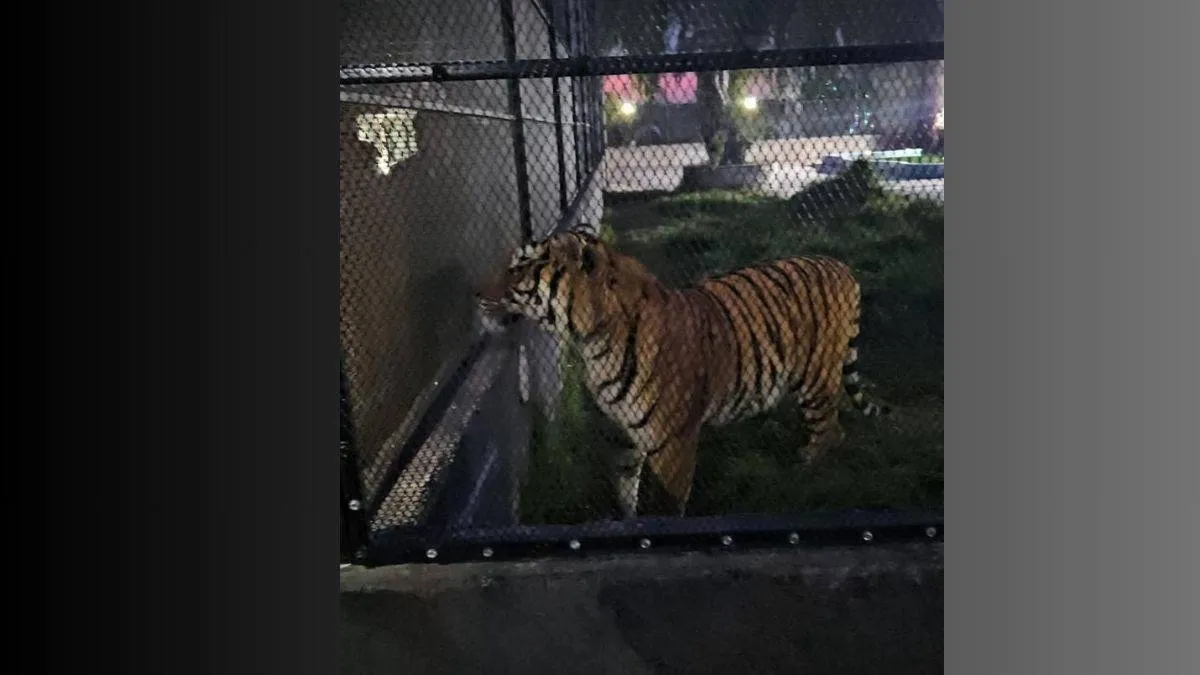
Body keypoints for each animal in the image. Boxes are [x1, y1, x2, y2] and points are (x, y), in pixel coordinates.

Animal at [477, 229, 890, 519]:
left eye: (519, 266)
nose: (476, 294)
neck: (591, 343)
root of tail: (841, 266)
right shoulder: (622, 435)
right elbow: (625, 491)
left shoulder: (673, 442)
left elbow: (668, 505)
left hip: (816, 380)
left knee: (831, 432)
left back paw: (808, 473)